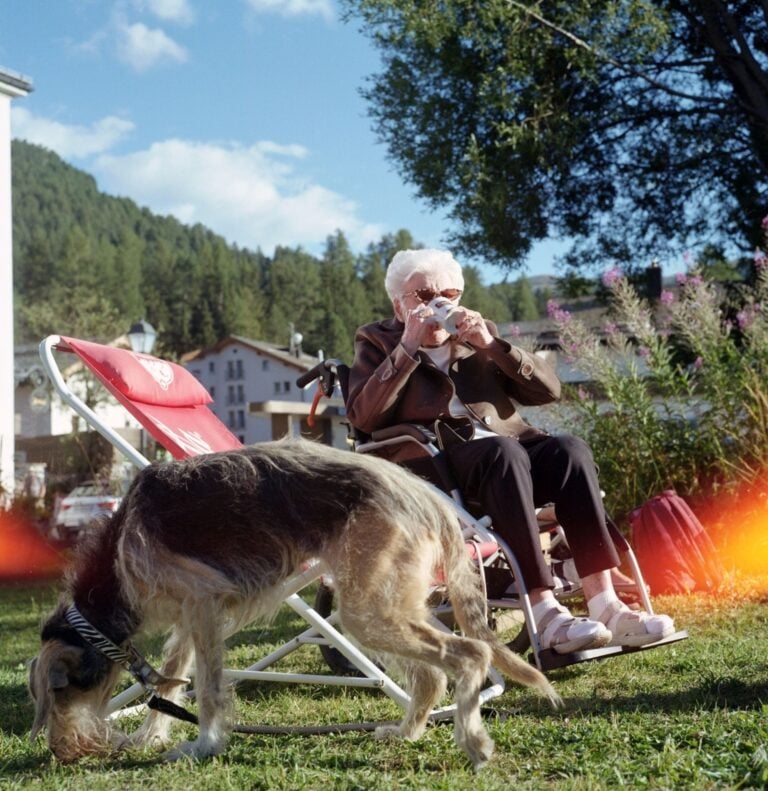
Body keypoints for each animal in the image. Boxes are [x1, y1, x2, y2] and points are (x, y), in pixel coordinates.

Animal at [30, 440, 560, 768]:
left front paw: (205, 744)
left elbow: (207, 690)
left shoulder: (202, 606)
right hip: (386, 604)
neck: (119, 553)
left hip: (366, 612)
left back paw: (473, 740)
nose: (61, 753)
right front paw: (151, 735)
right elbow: (171, 682)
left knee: (472, 655)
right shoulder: (190, 619)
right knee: (431, 675)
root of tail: (431, 499)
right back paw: (407, 733)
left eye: (57, 694)